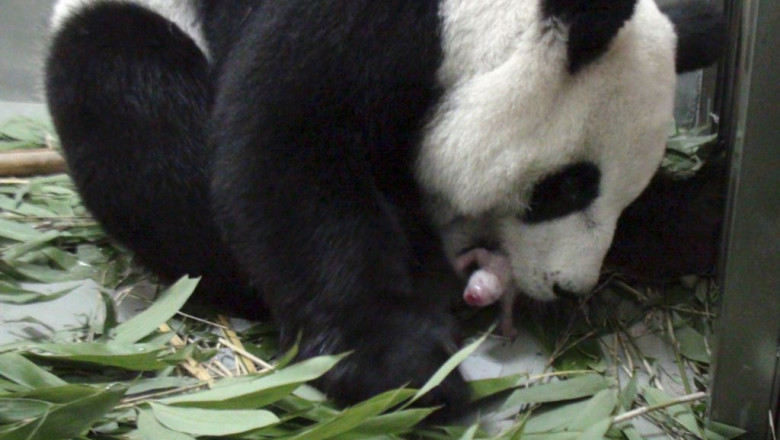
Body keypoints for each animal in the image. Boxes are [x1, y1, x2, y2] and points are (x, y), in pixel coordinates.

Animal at [45, 0, 724, 418]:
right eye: (566, 187)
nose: (568, 285)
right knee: (136, 97)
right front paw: (403, 364)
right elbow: (286, 146)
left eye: (619, 193)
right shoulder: (356, 28)